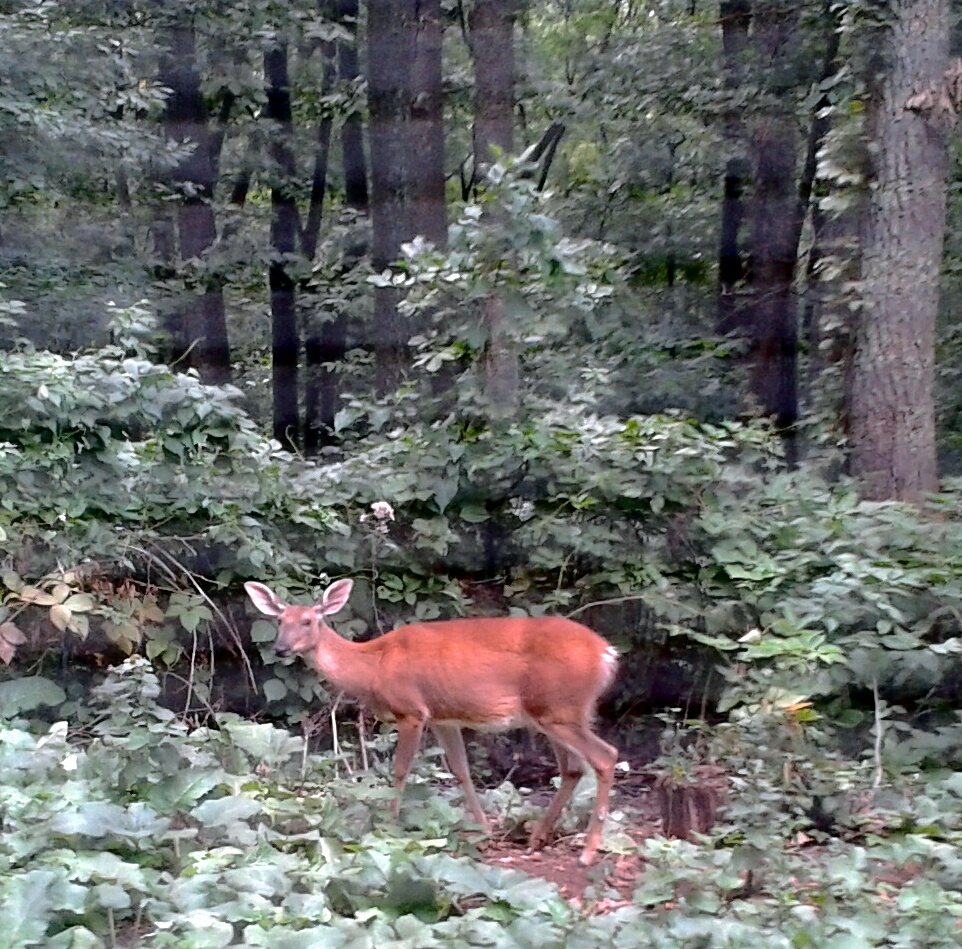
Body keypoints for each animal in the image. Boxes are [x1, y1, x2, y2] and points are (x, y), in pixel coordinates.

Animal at [244, 578, 619, 864]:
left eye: (308, 620)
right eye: (281, 621)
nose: (280, 648)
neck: (374, 666)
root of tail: (606, 654)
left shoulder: (411, 710)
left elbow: (400, 770)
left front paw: (389, 826)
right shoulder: (443, 717)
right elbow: (461, 770)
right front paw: (484, 830)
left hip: (560, 708)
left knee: (605, 756)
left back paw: (588, 851)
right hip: (553, 714)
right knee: (573, 768)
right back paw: (537, 837)